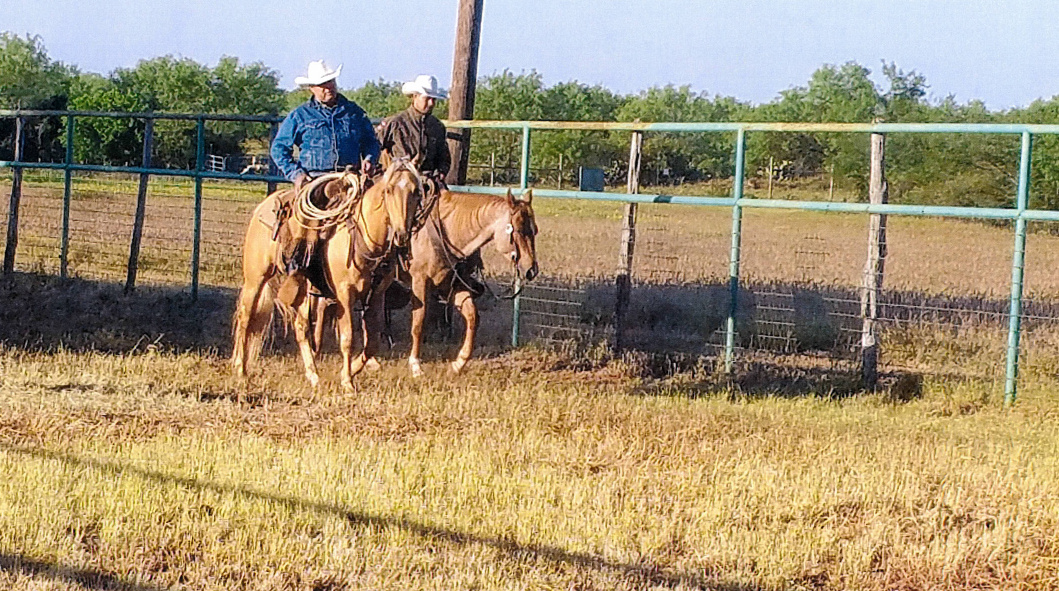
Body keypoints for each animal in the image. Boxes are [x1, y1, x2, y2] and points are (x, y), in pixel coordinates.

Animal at [231, 159, 421, 391]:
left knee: (301, 327)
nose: (402, 234)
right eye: (388, 190)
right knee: (245, 317)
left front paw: (354, 369)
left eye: (416, 191)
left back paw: (313, 375)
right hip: (256, 278)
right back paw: (241, 371)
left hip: (303, 288)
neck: (364, 236)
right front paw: (347, 382)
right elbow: (347, 338)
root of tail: (264, 205)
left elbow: (372, 343)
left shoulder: (376, 295)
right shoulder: (345, 294)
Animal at [402, 187, 542, 377]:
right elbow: (418, 322)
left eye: (535, 230)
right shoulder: (419, 281)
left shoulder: (452, 283)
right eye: (519, 230)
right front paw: (415, 365)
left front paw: (458, 363)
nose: (531, 270)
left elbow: (472, 316)